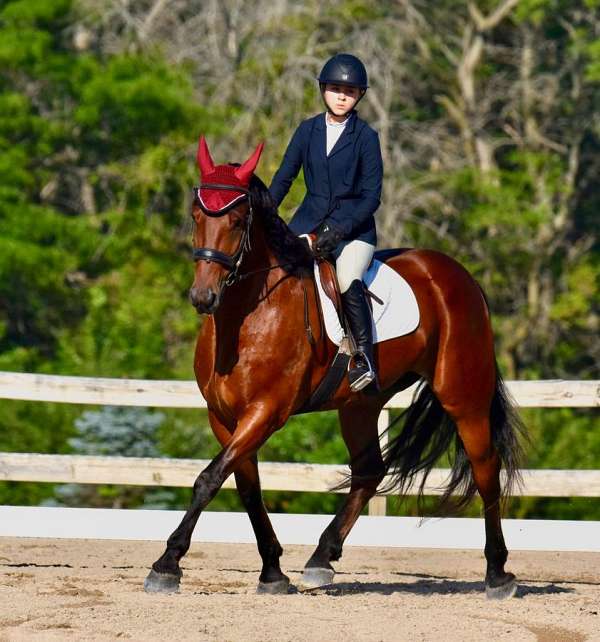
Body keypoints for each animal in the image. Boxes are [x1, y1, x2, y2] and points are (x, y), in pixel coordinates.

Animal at [143, 137, 526, 599]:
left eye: (236, 220)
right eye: (196, 216)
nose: (203, 297)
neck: (246, 317)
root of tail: (459, 274)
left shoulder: (266, 412)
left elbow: (208, 479)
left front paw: (167, 565)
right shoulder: (224, 417)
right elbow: (245, 488)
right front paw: (273, 572)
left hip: (462, 395)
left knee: (485, 467)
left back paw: (498, 573)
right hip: (360, 404)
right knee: (369, 472)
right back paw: (320, 559)